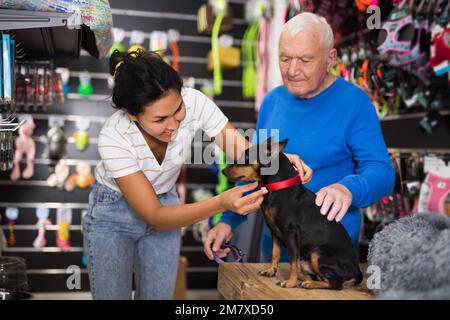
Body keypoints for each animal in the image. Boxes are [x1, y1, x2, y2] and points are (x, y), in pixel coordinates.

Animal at [223, 138, 364, 290]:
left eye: (246, 157)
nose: (223, 170)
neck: (278, 188)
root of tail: (356, 270)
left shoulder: (291, 234)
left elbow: (293, 261)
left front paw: (290, 283)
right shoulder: (275, 232)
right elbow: (276, 254)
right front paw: (271, 271)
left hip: (317, 253)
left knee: (335, 283)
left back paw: (309, 283)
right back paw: (305, 278)